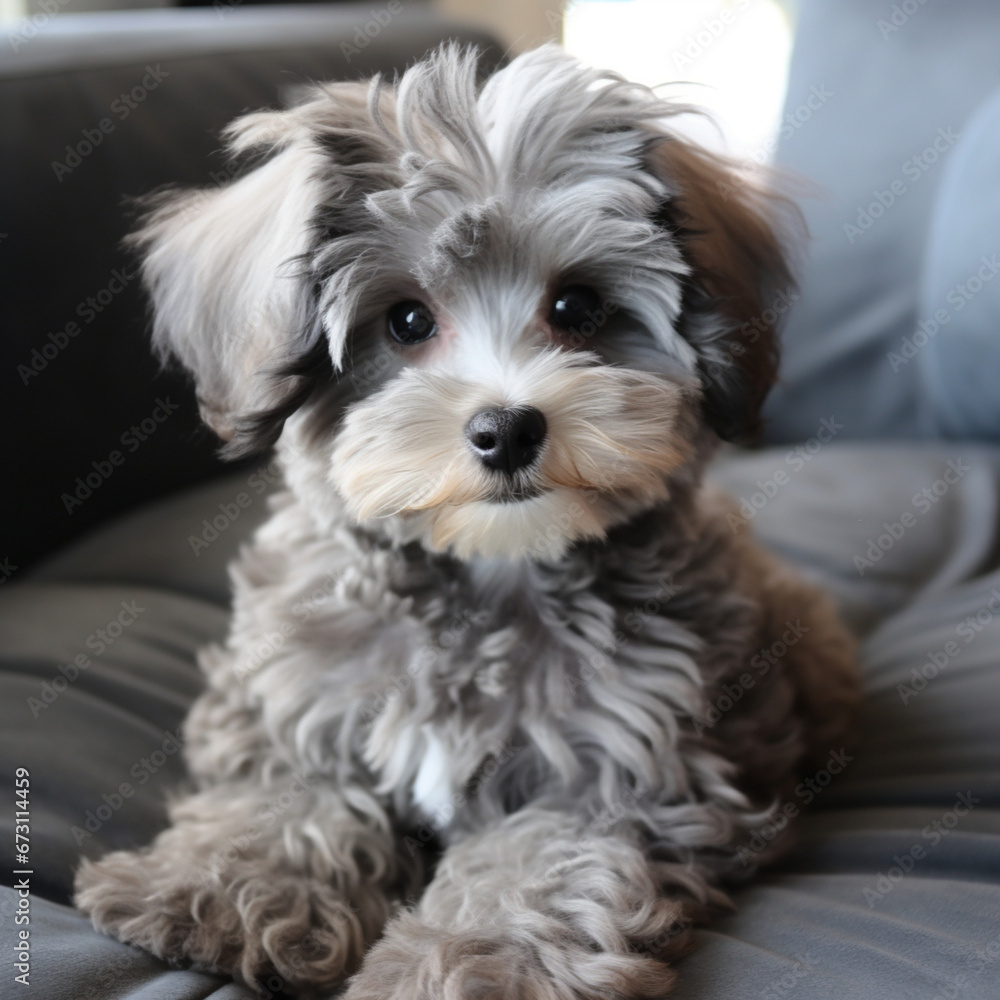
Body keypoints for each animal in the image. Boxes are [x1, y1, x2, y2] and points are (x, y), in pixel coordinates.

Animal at [76, 45, 860, 1000]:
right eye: (407, 319)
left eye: (578, 309)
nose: (508, 428)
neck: (486, 580)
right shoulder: (295, 691)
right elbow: (289, 797)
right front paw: (218, 890)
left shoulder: (623, 762)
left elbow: (537, 866)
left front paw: (465, 962)